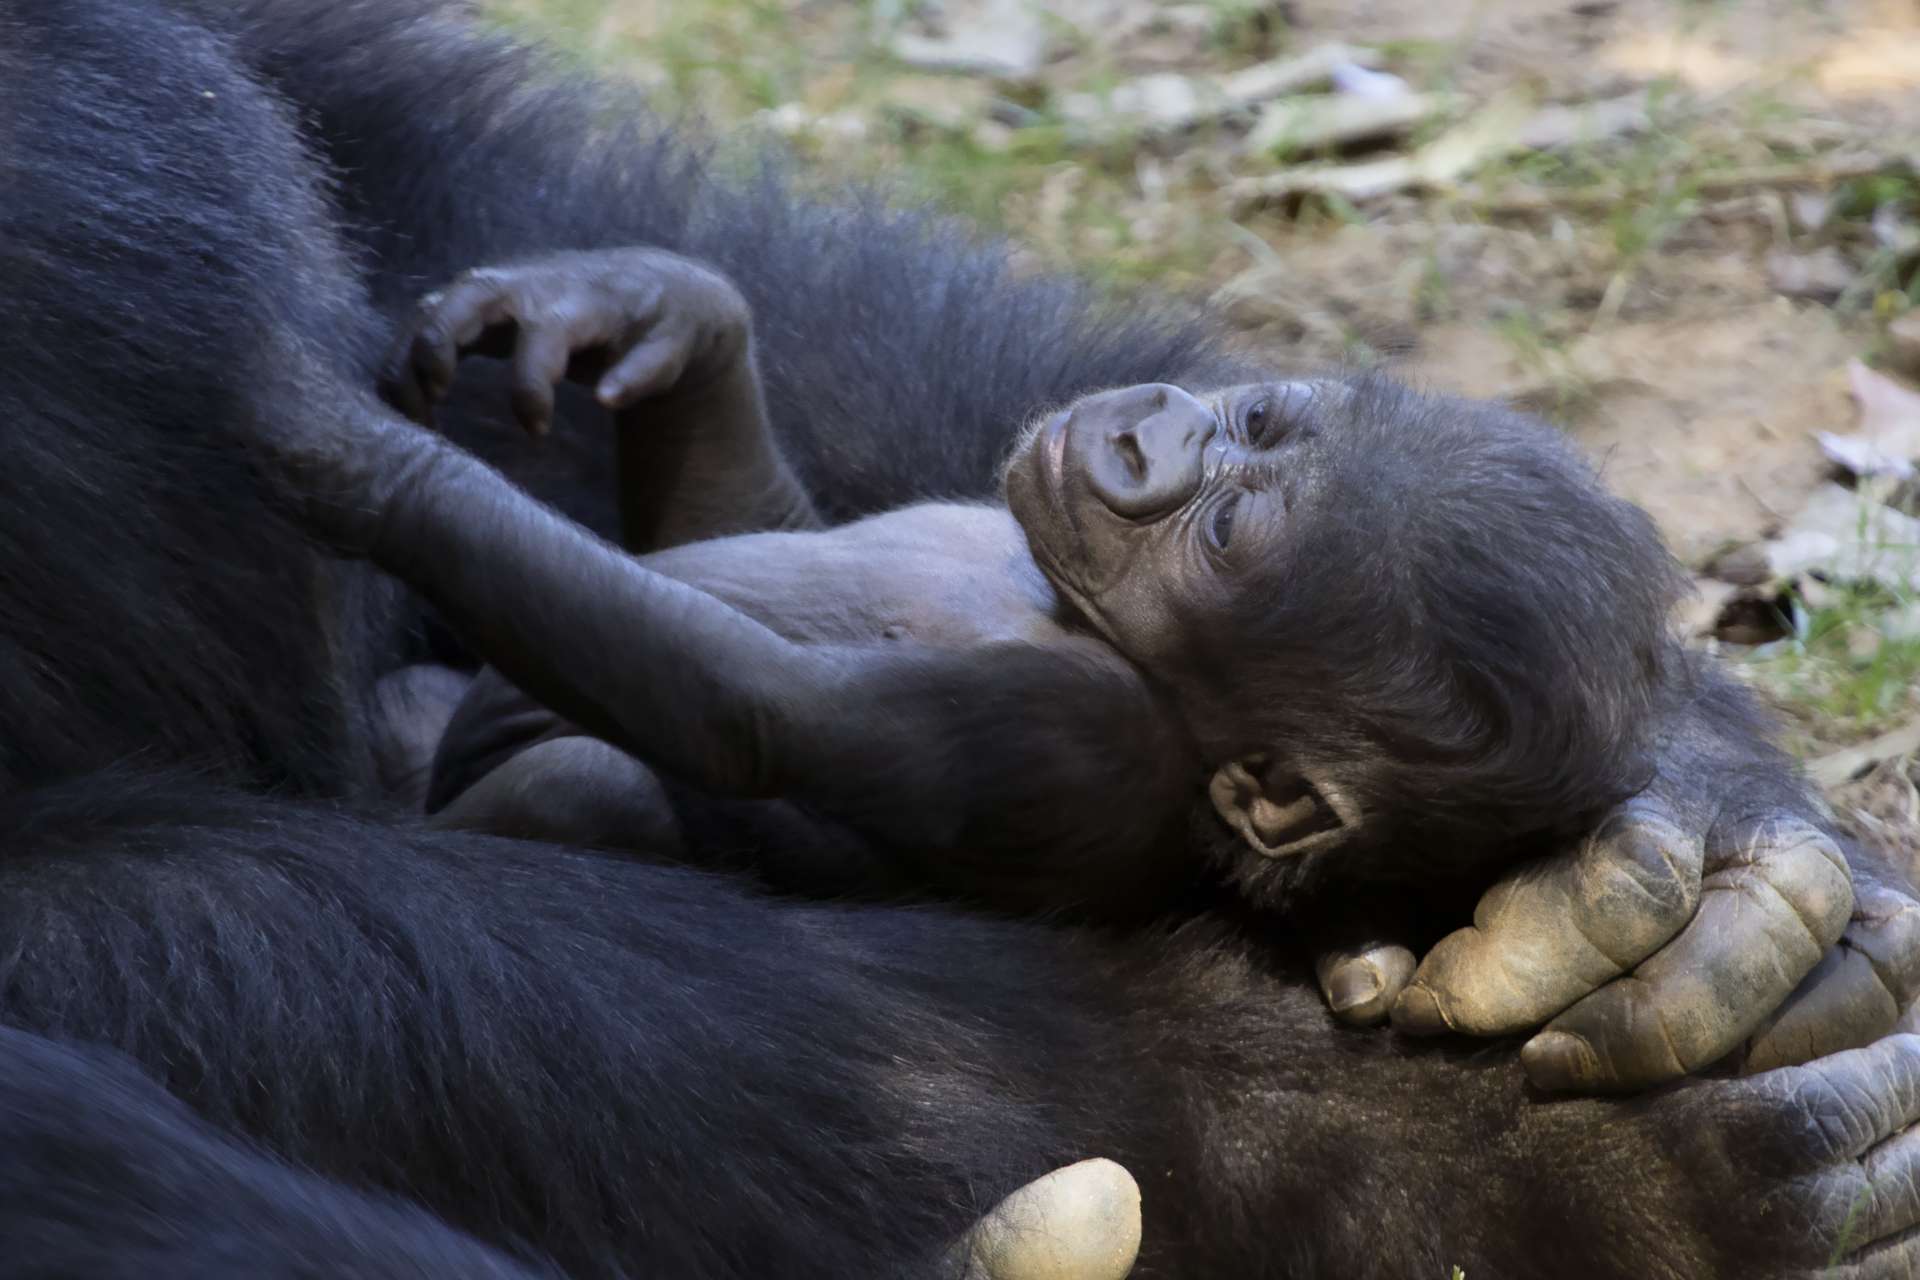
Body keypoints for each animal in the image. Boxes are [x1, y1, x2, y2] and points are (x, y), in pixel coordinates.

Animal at [334, 247, 1681, 921]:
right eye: (1255, 419)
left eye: (1224, 533)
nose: (1147, 430)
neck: (1065, 603)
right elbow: (745, 528)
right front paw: (645, 303)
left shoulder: (1071, 733)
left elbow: (753, 707)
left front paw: (342, 452)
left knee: (585, 780)